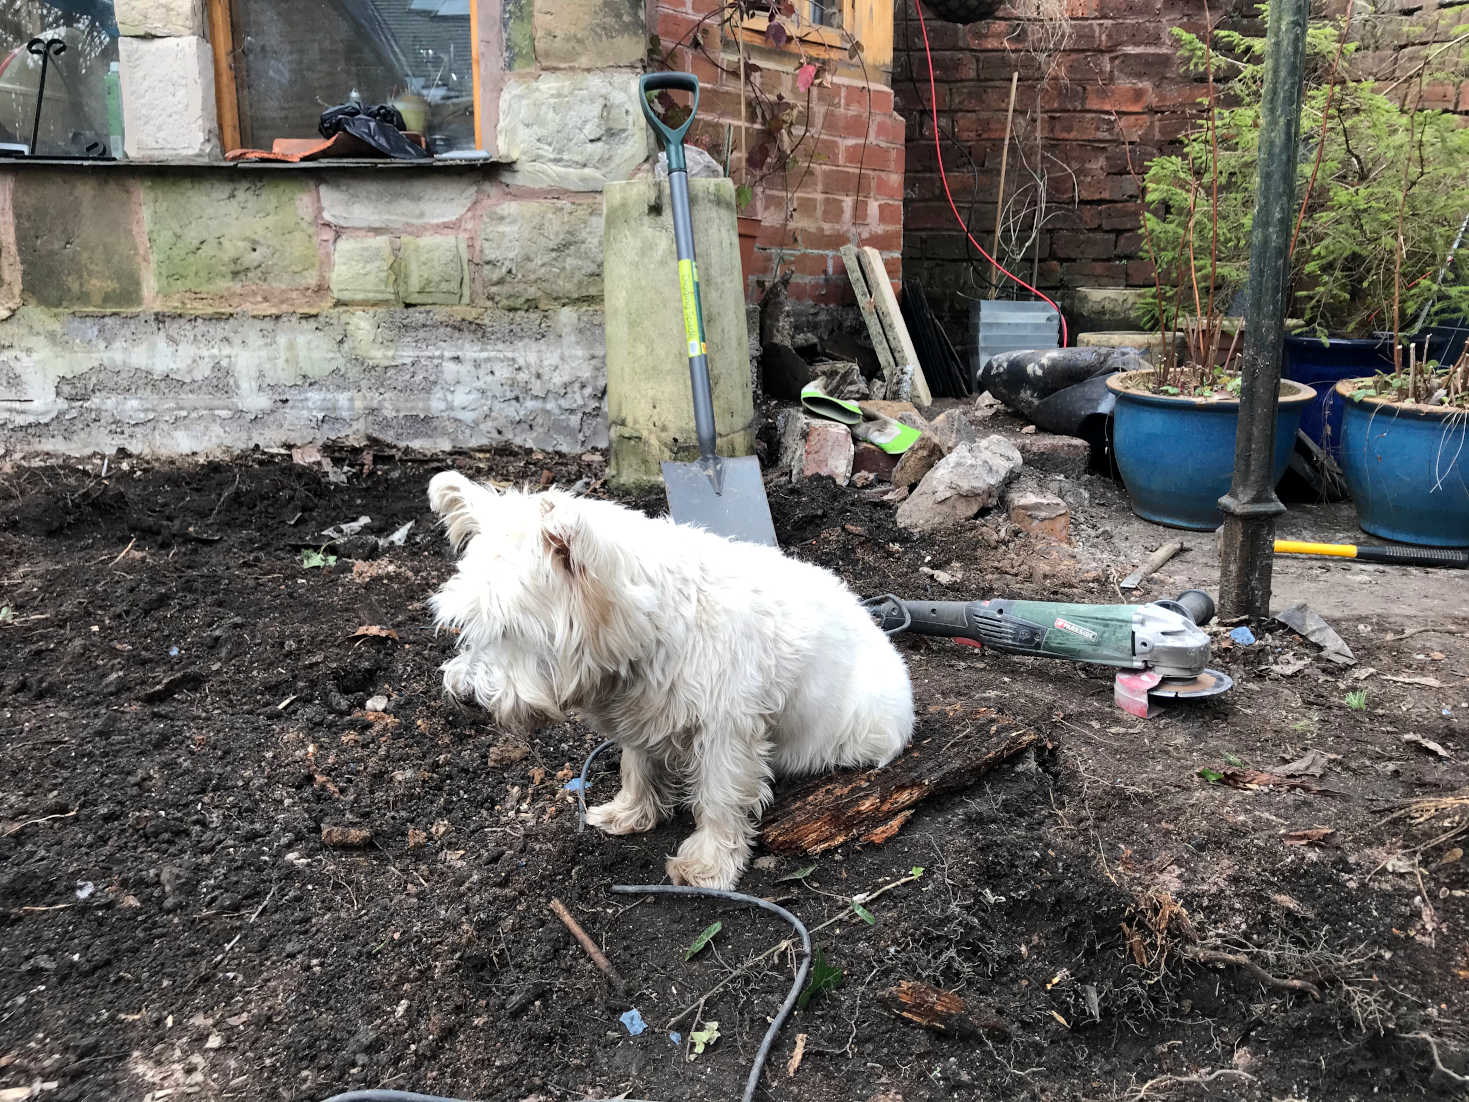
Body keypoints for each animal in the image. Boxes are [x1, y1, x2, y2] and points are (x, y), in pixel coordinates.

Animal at [420, 470, 910, 893]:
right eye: (467, 624)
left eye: (511, 629)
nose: (465, 696)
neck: (650, 629)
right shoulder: (641, 714)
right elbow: (636, 765)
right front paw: (630, 812)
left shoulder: (726, 732)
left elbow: (718, 797)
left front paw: (709, 863)